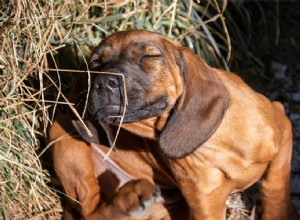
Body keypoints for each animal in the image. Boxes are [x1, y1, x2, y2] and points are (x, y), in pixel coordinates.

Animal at [49, 29, 300, 220]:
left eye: (149, 56)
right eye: (95, 63)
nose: (102, 83)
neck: (212, 144)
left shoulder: (283, 124)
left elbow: (275, 185)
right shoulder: (205, 207)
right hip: (61, 129)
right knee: (91, 211)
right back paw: (131, 197)